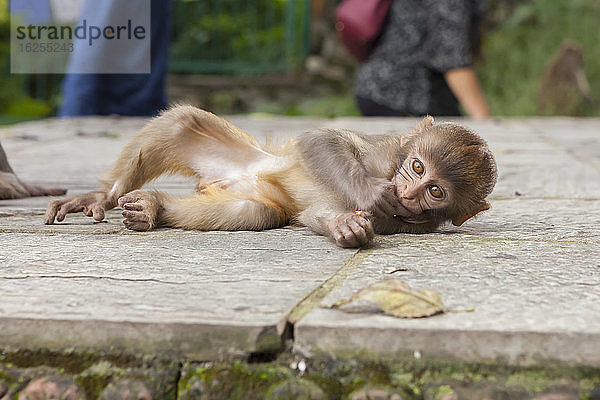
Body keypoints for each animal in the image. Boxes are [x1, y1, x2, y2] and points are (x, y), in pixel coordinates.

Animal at [44, 105, 496, 247]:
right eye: (417, 166)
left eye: (434, 191)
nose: (410, 190)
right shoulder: (386, 151)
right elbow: (319, 140)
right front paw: (368, 195)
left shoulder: (414, 224)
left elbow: (317, 212)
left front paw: (346, 226)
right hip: (239, 158)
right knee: (183, 122)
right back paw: (102, 196)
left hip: (255, 191)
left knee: (252, 212)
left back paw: (155, 207)